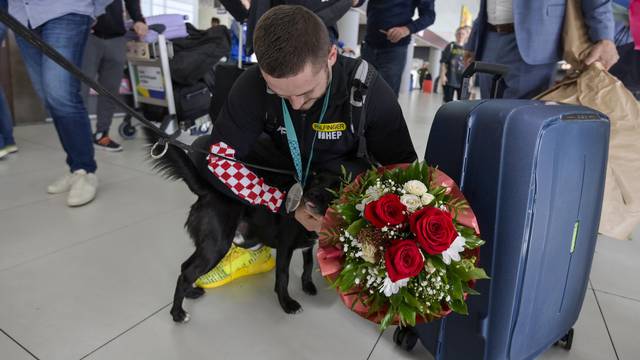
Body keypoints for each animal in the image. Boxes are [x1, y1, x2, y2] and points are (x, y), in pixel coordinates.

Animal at [143, 131, 338, 322]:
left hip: (208, 246)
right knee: (187, 274)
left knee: (185, 267)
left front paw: (307, 285)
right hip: (216, 247)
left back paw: (190, 293)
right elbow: (283, 277)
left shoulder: (307, 246)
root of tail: (209, 190)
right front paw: (287, 304)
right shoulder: (285, 248)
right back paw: (178, 314)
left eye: (335, 187)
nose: (312, 194)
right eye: (315, 181)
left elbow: (308, 265)